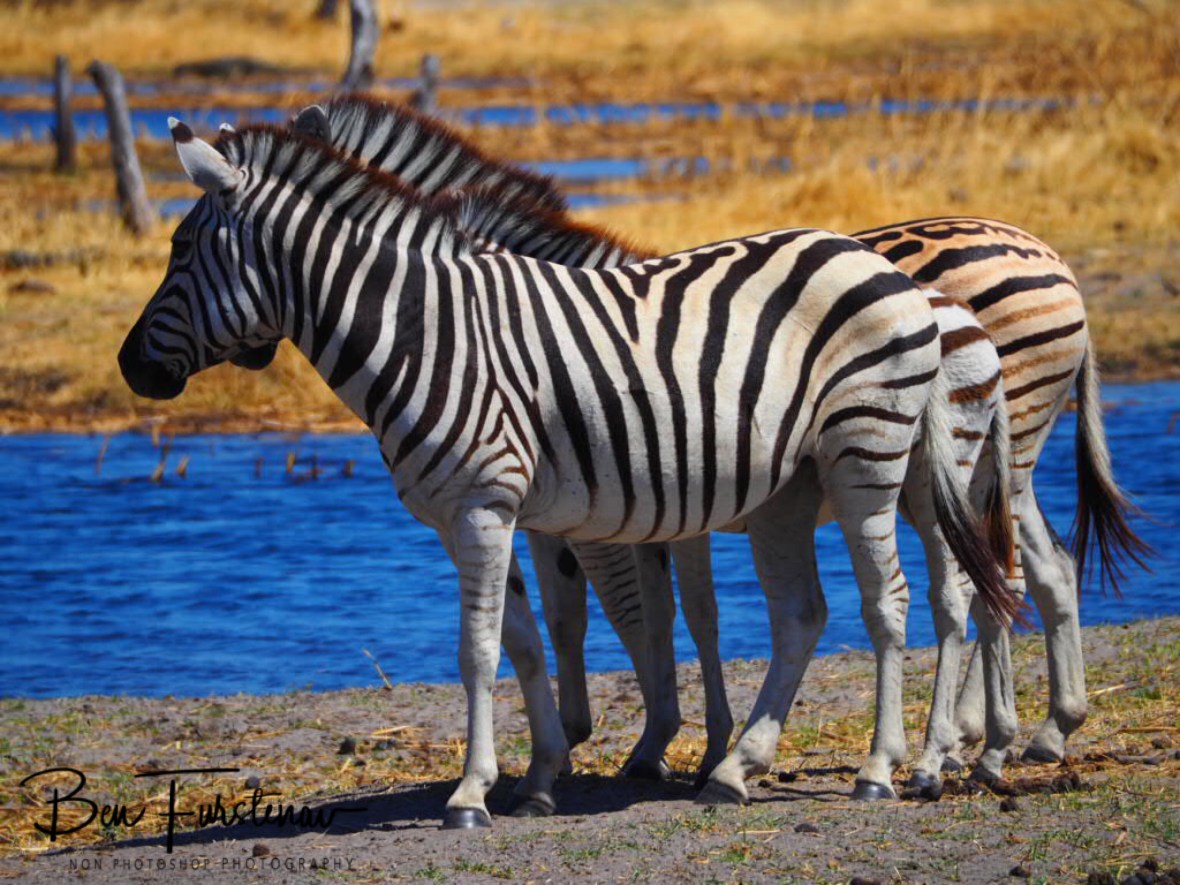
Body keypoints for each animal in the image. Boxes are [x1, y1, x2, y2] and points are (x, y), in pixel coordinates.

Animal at [119, 119, 1013, 827]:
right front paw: (542, 775)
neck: (424, 330)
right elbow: (529, 637)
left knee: (895, 601)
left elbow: (483, 647)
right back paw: (739, 769)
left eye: (181, 248)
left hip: (871, 452)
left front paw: (471, 794)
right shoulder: (484, 510)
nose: (130, 367)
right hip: (796, 489)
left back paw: (885, 769)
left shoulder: (489, 503)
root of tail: (898, 275)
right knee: (811, 612)